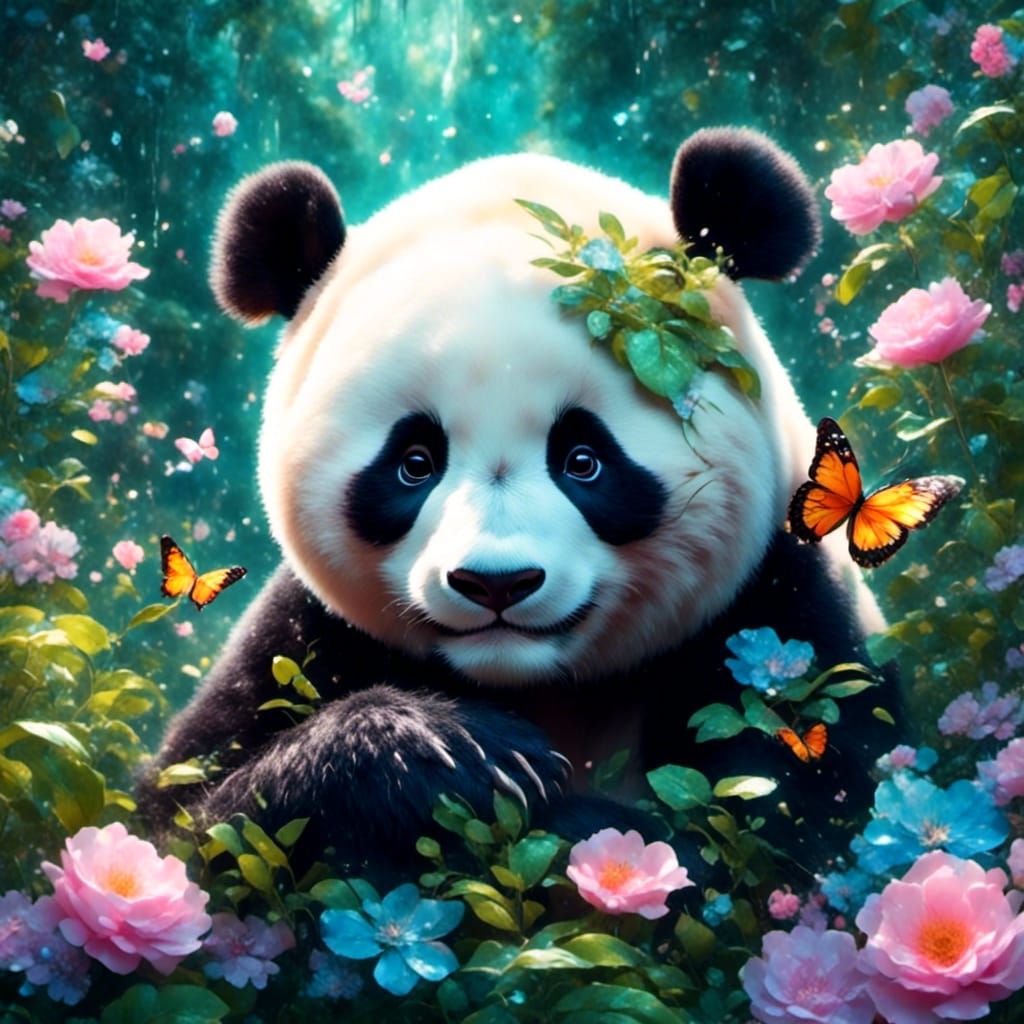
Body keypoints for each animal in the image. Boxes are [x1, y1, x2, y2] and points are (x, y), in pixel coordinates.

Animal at [140, 128, 893, 883]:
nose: (495, 583)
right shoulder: (302, 634)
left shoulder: (789, 613)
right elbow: (186, 828)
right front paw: (453, 755)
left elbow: (796, 843)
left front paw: (550, 817)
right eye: (415, 463)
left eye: (583, 460)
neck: (539, 687)